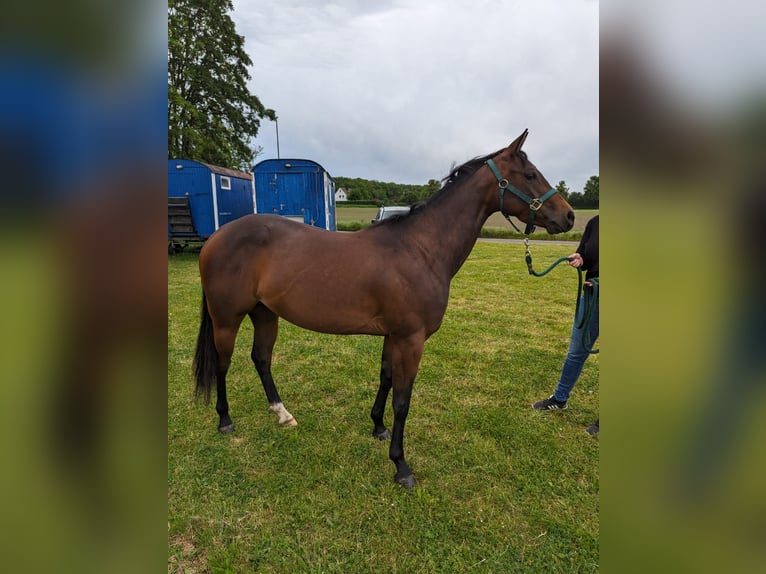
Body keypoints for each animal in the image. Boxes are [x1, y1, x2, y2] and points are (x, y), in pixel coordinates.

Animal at [195, 132, 572, 490]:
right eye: (530, 174)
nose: (568, 215)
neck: (421, 249)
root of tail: (217, 237)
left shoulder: (394, 336)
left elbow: (386, 378)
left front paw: (377, 426)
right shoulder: (411, 339)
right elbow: (403, 400)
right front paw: (401, 466)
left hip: (264, 313)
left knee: (261, 358)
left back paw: (282, 414)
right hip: (227, 318)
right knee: (223, 363)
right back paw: (224, 420)